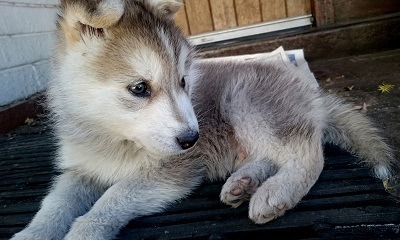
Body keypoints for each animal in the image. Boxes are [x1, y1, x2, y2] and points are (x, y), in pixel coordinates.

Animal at [12, 0, 396, 240]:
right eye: (139, 88)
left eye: (184, 81)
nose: (191, 140)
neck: (113, 137)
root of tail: (311, 93)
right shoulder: (81, 171)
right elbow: (54, 203)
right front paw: (33, 233)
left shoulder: (171, 172)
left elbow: (115, 195)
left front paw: (86, 228)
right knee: (270, 155)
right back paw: (243, 182)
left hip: (246, 102)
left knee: (308, 153)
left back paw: (275, 193)